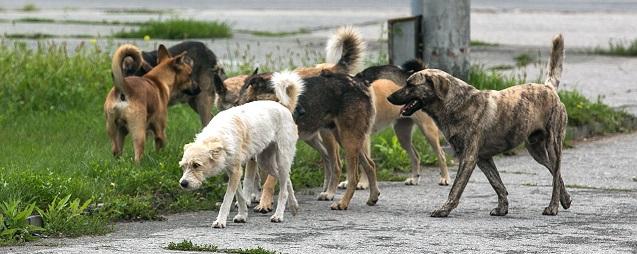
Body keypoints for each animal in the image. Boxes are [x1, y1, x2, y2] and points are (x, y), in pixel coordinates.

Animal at [178, 70, 304, 228]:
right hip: (265, 162)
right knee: (286, 181)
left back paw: (278, 215)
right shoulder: (233, 172)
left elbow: (227, 199)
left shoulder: (236, 172)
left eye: (196, 165)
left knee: (283, 190)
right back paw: (293, 206)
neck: (218, 136)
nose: (183, 183)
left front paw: (220, 221)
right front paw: (242, 215)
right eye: (183, 167)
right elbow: (240, 196)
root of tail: (284, 107)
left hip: (281, 159)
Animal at [388, 33, 572, 216]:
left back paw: (553, 207)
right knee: (556, 173)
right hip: (536, 151)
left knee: (556, 175)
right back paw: (565, 199)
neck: (456, 103)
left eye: (410, 84)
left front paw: (444, 209)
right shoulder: (483, 158)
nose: (389, 97)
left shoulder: (468, 158)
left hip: (553, 145)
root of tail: (549, 88)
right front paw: (502, 208)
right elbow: (497, 184)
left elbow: (456, 188)